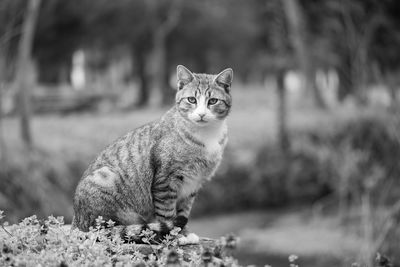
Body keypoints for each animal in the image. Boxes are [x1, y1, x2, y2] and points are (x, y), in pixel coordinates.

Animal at [73, 65, 233, 245]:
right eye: (192, 100)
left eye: (212, 101)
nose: (201, 114)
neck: (205, 134)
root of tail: (76, 222)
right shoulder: (165, 181)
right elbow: (168, 214)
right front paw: (175, 236)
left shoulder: (193, 185)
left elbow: (183, 211)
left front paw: (185, 233)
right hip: (105, 178)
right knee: (106, 229)